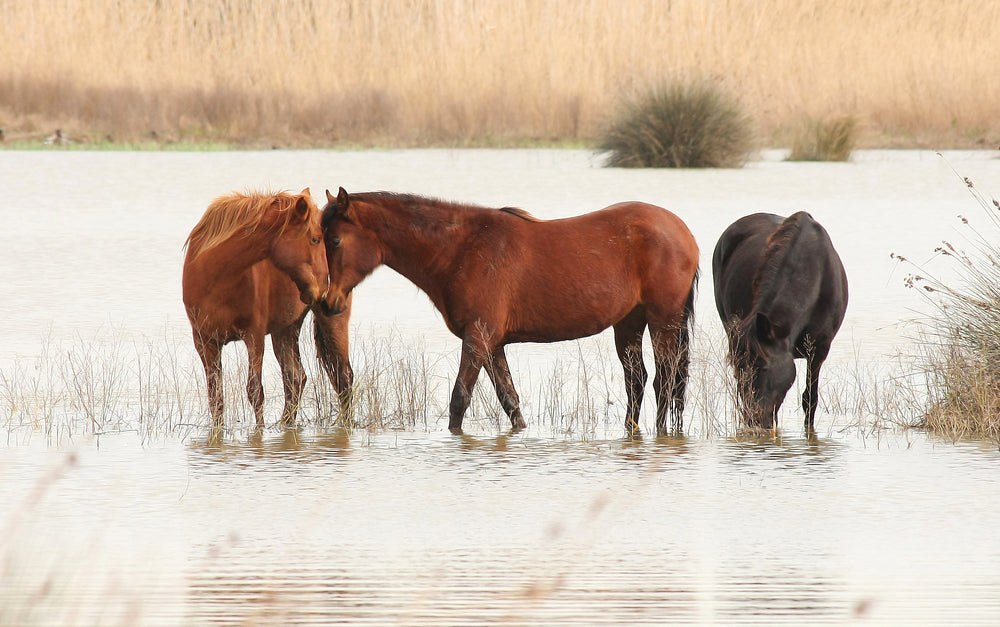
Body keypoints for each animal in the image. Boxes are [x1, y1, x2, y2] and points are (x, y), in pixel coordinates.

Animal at [182, 188, 351, 429]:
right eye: (315, 239)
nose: (324, 289)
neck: (216, 278)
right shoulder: (205, 341)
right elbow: (216, 397)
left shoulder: (254, 335)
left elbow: (255, 391)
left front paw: (259, 432)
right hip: (286, 329)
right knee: (296, 378)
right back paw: (286, 425)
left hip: (333, 322)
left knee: (343, 377)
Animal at [318, 187, 700, 436]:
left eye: (334, 240)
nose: (327, 301)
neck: (461, 248)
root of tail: (682, 231)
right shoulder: (492, 343)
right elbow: (509, 399)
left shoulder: (477, 337)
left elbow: (459, 399)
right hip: (629, 323)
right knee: (637, 380)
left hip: (663, 320)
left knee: (666, 379)